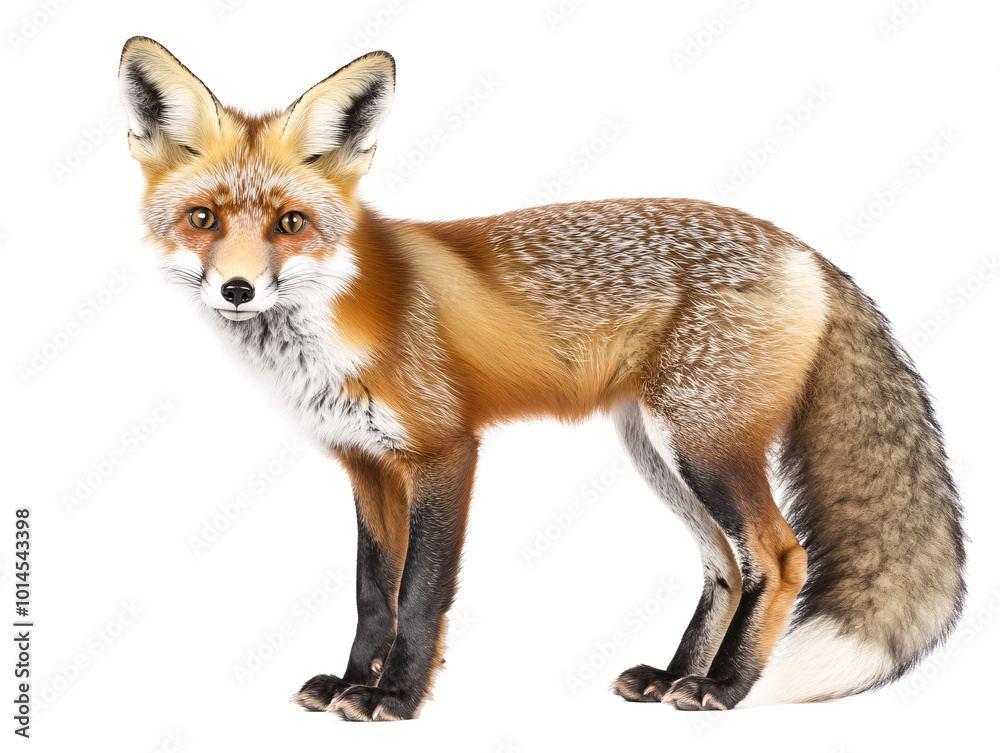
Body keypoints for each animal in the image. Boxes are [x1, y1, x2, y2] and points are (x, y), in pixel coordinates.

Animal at [118, 36, 965, 720]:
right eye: (203, 219)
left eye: (290, 223)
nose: (236, 290)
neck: (329, 328)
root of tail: (807, 251)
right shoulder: (365, 464)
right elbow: (370, 593)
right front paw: (352, 684)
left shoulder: (445, 452)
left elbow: (419, 594)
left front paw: (396, 697)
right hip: (657, 451)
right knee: (727, 564)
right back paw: (673, 677)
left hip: (705, 447)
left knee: (781, 557)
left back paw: (723, 689)